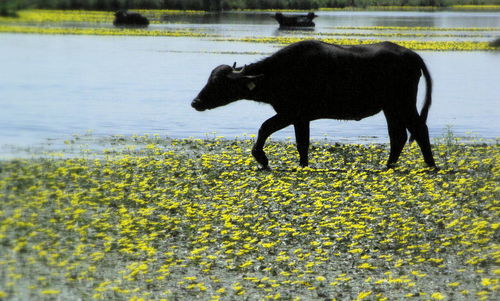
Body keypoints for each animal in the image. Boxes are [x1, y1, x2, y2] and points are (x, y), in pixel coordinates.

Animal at [193, 40, 436, 169]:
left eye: (219, 83)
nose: (196, 102)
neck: (280, 73)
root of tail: (411, 55)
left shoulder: (290, 113)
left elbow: (264, 128)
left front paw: (262, 158)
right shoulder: (301, 119)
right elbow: (302, 143)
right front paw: (303, 164)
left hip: (402, 103)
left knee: (419, 129)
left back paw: (430, 166)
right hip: (391, 108)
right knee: (399, 135)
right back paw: (388, 166)